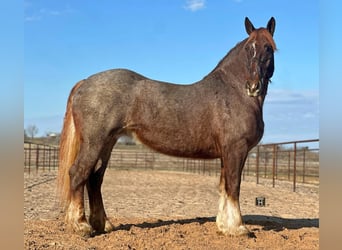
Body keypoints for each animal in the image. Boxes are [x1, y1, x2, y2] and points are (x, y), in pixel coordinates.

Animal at [56, 17, 276, 236]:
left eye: (268, 48)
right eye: (248, 48)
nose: (253, 87)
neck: (234, 92)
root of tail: (85, 82)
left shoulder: (227, 153)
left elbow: (224, 186)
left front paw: (223, 225)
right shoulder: (236, 149)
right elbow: (234, 185)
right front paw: (238, 228)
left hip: (107, 144)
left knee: (94, 179)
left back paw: (102, 225)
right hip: (94, 143)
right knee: (78, 174)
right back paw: (80, 225)